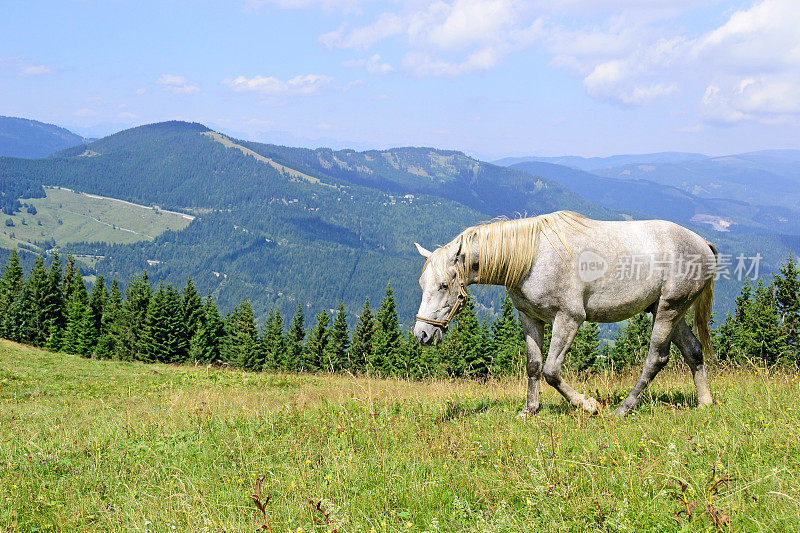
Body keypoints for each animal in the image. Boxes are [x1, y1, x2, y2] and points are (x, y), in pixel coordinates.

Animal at [416, 211, 716, 416]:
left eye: (444, 285)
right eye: (422, 284)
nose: (422, 334)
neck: (532, 257)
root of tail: (703, 243)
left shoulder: (568, 319)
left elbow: (551, 370)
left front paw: (588, 405)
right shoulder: (529, 318)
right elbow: (534, 365)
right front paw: (529, 410)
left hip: (668, 309)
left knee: (657, 358)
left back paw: (623, 409)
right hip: (668, 310)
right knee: (693, 350)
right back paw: (705, 403)